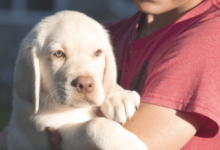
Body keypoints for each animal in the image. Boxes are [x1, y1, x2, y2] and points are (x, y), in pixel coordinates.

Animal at [7, 10, 148, 150]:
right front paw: (128, 144)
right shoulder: (53, 132)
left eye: (97, 52)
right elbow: (91, 125)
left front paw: (119, 98)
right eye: (58, 54)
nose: (85, 84)